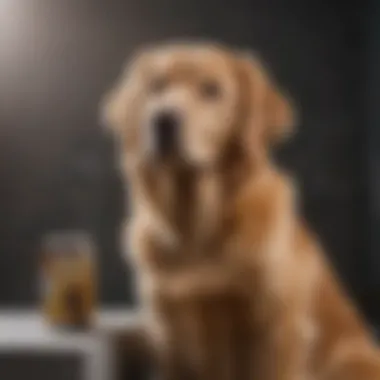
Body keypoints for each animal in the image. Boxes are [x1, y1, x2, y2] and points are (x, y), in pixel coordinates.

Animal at [100, 42, 380, 380]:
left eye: (212, 90)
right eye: (156, 86)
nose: (163, 120)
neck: (196, 228)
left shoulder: (275, 328)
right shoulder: (169, 332)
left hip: (350, 359)